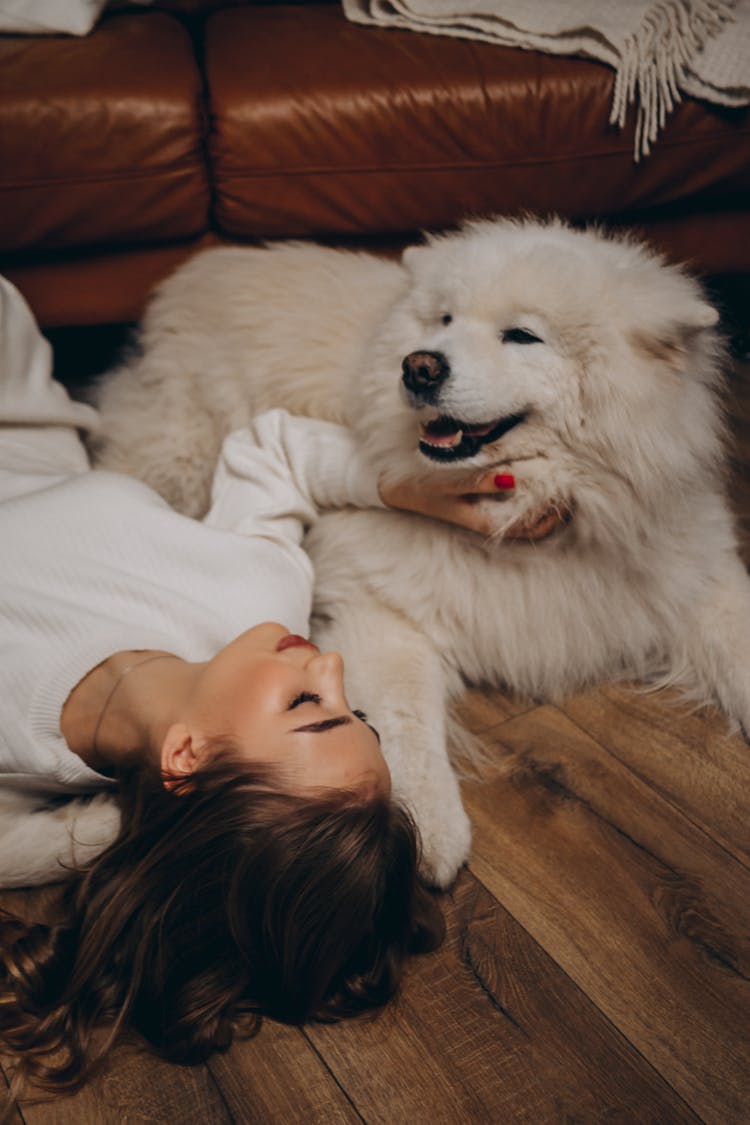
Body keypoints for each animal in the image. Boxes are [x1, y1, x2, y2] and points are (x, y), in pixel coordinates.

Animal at [92, 219, 750, 886]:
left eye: (523, 335)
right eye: (445, 320)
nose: (419, 367)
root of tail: (205, 266)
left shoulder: (696, 574)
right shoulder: (384, 613)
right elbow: (405, 731)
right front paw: (428, 830)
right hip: (178, 457)